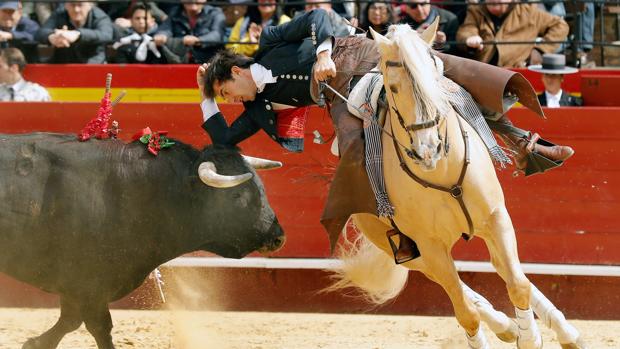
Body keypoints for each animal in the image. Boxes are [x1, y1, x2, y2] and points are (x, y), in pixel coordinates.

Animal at [0, 133, 286, 348]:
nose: (278, 236)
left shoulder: (83, 286)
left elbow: (72, 320)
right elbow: (97, 326)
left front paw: (34, 344)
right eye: (236, 196)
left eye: (262, 189)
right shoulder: (87, 281)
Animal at [330, 25, 588, 348]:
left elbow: (518, 284)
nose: (428, 150)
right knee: (466, 293)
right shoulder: (431, 248)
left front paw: (530, 338)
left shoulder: (496, 217)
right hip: (408, 253)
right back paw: (507, 326)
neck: (443, 171)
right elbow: (466, 313)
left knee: (507, 271)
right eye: (394, 88)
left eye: (435, 78)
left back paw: (564, 333)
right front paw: (515, 331)